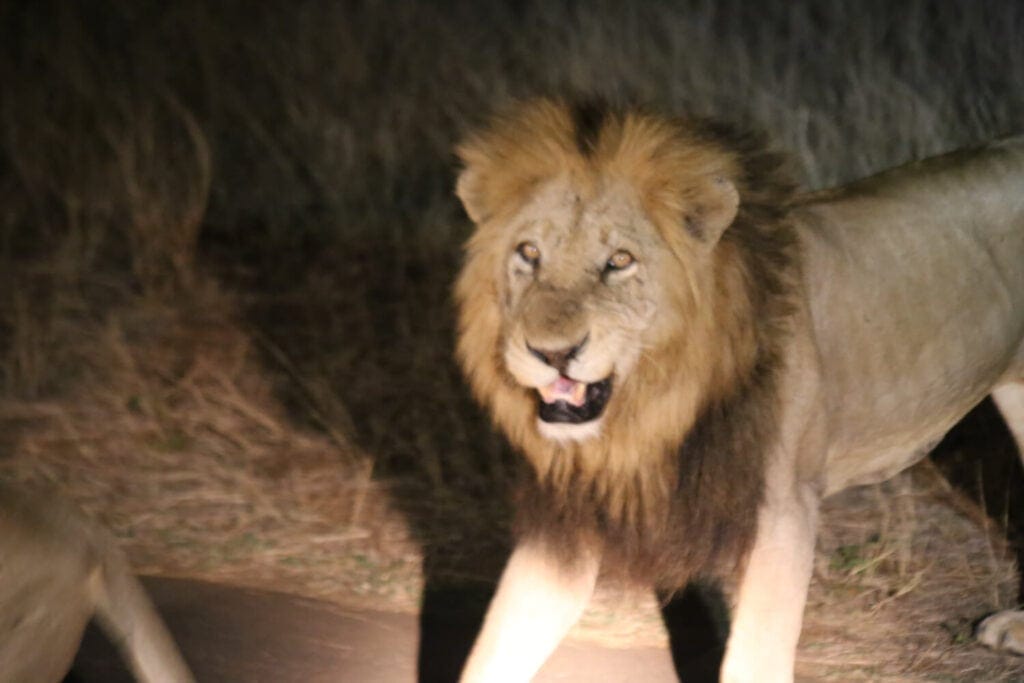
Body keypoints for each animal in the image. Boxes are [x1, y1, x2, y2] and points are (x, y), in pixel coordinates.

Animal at [452, 98, 1024, 682]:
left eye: (620, 261)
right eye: (528, 253)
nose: (551, 353)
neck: (654, 405)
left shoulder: (784, 510)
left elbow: (756, 654)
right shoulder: (571, 513)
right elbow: (500, 640)